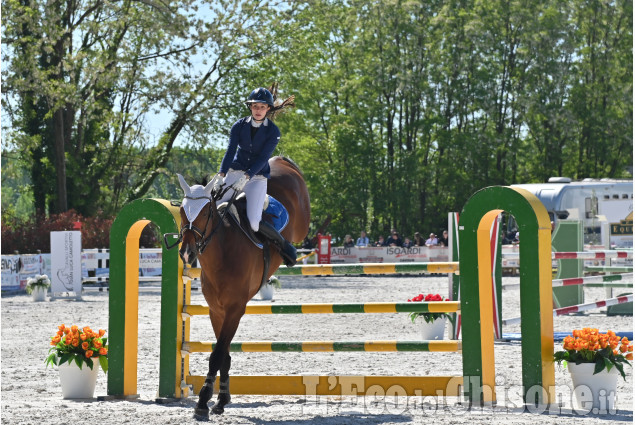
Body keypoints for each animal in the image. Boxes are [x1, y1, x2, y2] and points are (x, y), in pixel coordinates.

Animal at [176, 156, 310, 418]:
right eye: (181, 211)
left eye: (205, 212)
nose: (187, 252)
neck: (223, 252)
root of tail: (280, 160)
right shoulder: (217, 311)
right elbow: (224, 354)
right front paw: (221, 400)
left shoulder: (235, 310)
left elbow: (217, 355)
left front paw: (203, 401)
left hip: (301, 220)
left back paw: (290, 250)